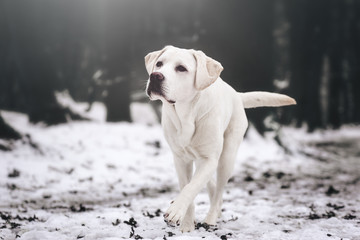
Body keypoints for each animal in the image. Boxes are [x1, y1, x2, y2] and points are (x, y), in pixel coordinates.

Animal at [143, 46, 296, 232]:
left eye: (181, 68)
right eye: (159, 64)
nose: (155, 76)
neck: (186, 113)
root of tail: (236, 94)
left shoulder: (209, 159)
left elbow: (191, 187)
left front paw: (176, 210)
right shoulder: (180, 159)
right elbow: (189, 187)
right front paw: (187, 226)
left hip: (226, 158)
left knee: (218, 191)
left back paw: (211, 219)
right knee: (211, 185)